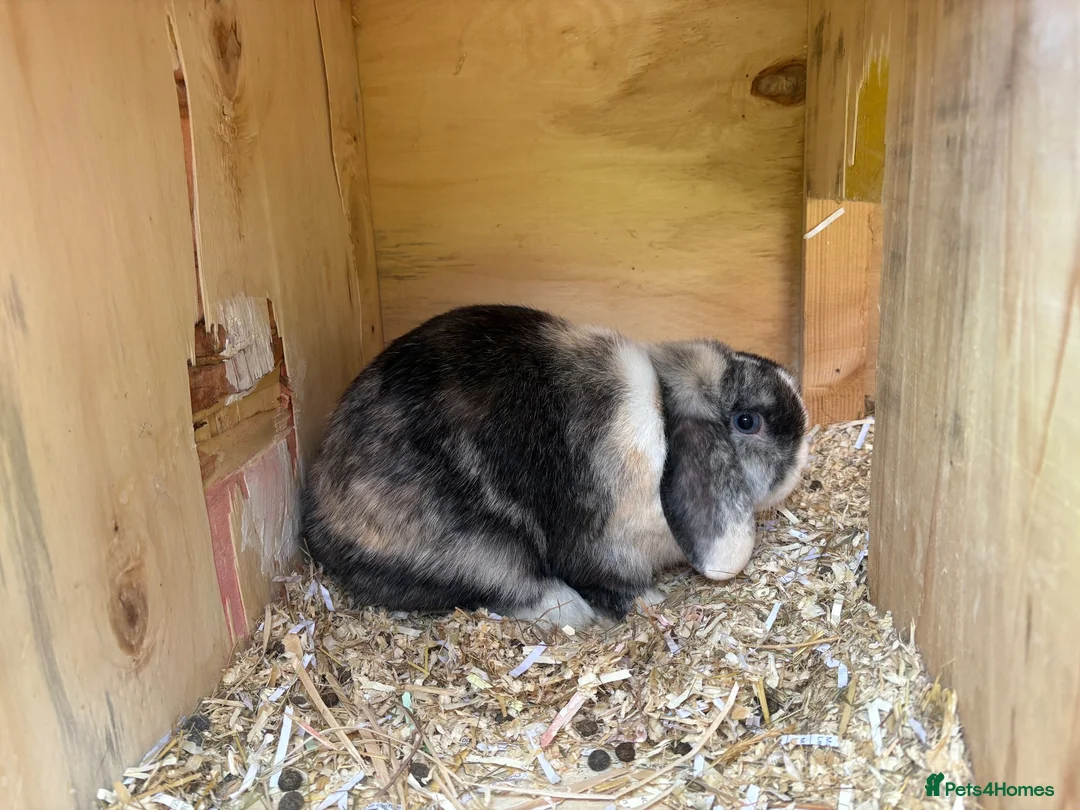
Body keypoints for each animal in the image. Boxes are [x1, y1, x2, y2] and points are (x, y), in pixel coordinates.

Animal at [301, 304, 809, 629]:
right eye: (747, 422)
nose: (804, 451)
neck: (662, 412)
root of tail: (321, 523)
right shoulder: (605, 547)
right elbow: (612, 581)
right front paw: (650, 601)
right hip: (476, 545)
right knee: (504, 585)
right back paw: (571, 610)